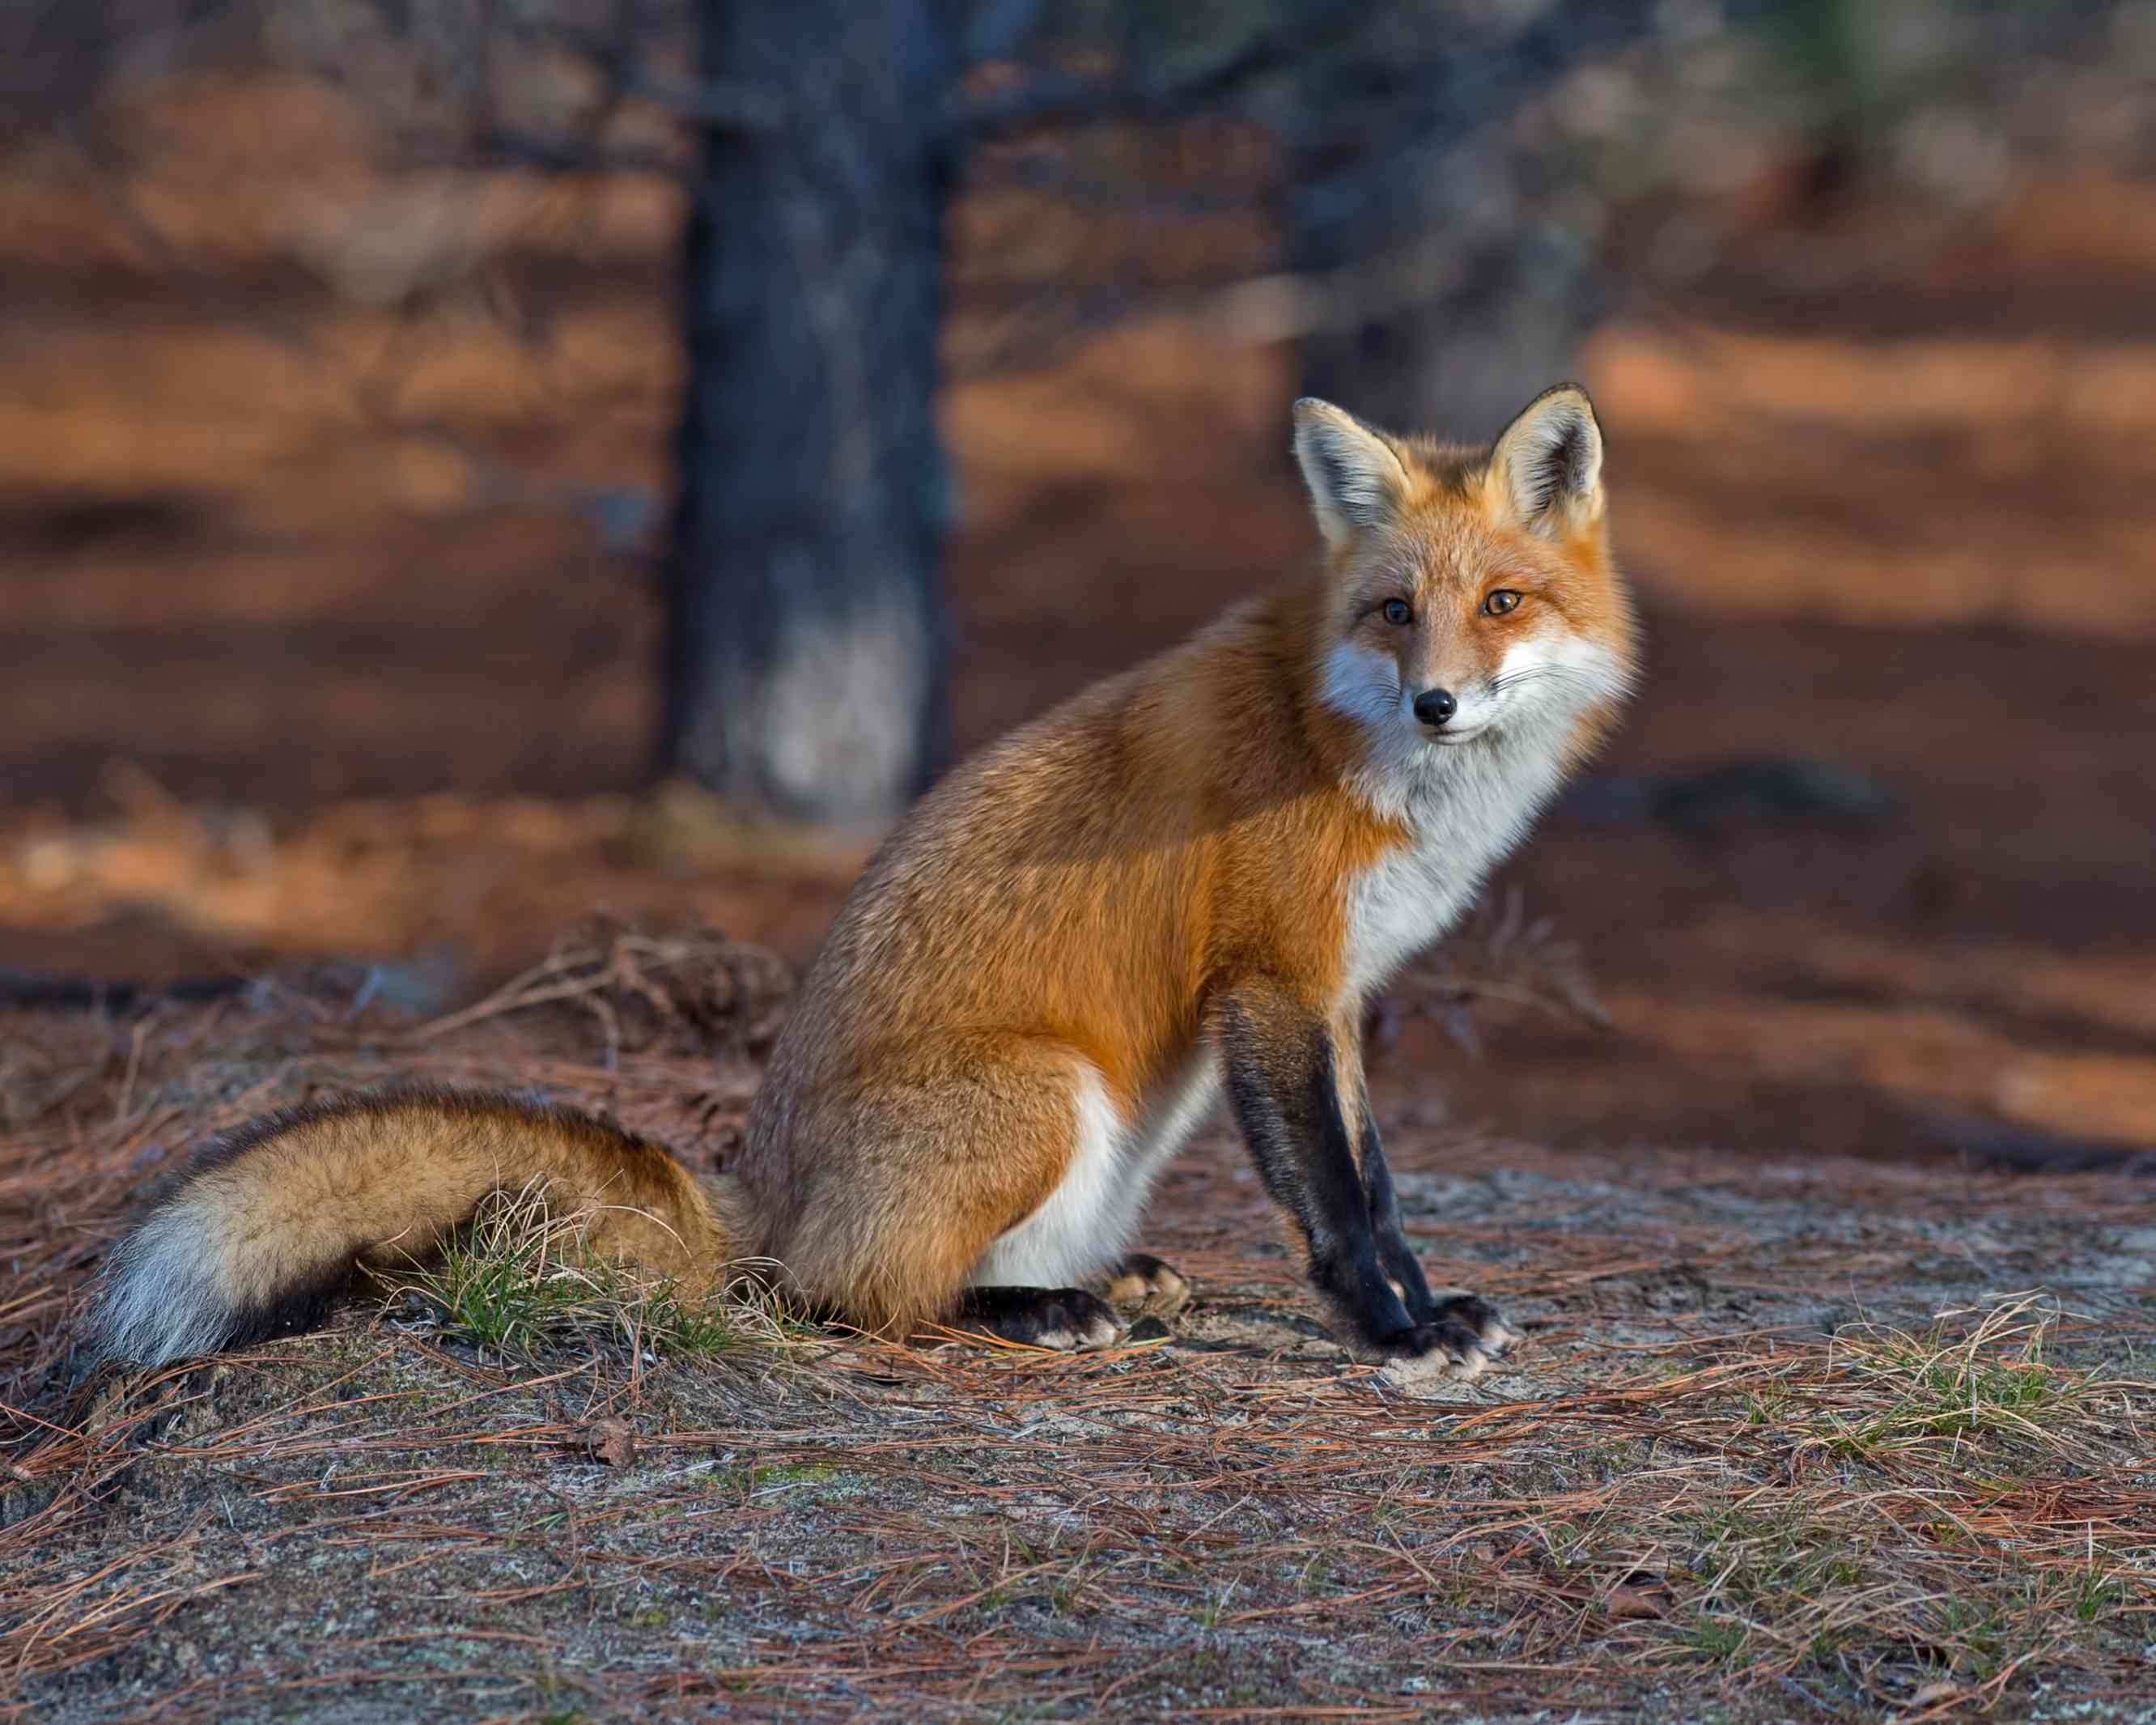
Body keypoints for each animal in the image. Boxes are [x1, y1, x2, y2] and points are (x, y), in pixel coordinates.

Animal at [83, 384, 1629, 1379]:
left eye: (1499, 604)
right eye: (1393, 611)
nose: (1435, 702)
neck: (1352, 745)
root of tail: (753, 1189)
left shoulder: (1337, 995)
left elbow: (1374, 1175)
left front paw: (1423, 1308)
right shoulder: (1272, 980)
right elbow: (1338, 1201)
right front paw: (1395, 1335)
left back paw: (1094, 1282)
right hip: (1043, 1093)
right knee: (844, 1299)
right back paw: (1031, 1314)